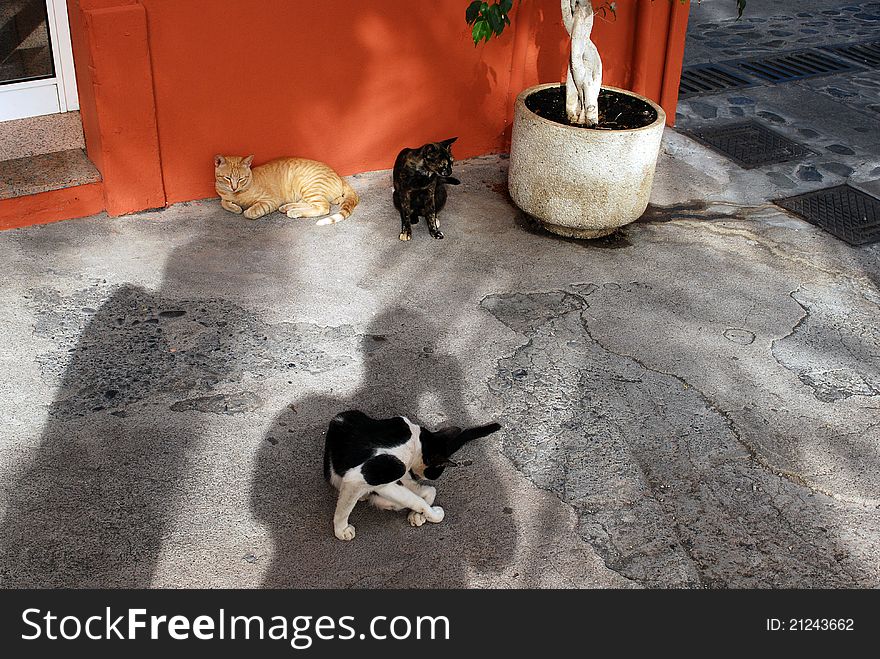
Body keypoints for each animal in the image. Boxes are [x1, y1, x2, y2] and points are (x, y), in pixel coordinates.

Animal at [213, 155, 358, 226]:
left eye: (241, 179)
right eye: (227, 178)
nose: (234, 187)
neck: (236, 194)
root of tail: (339, 176)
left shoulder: (271, 201)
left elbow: (251, 211)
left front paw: (246, 210)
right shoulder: (224, 196)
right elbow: (224, 203)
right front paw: (235, 207)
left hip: (309, 187)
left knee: (323, 207)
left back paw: (294, 212)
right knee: (311, 203)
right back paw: (288, 207)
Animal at [324, 412, 502, 540]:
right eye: (438, 471)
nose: (434, 477)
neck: (417, 442)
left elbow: (422, 495)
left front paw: (418, 515)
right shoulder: (362, 477)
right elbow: (344, 509)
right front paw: (341, 530)